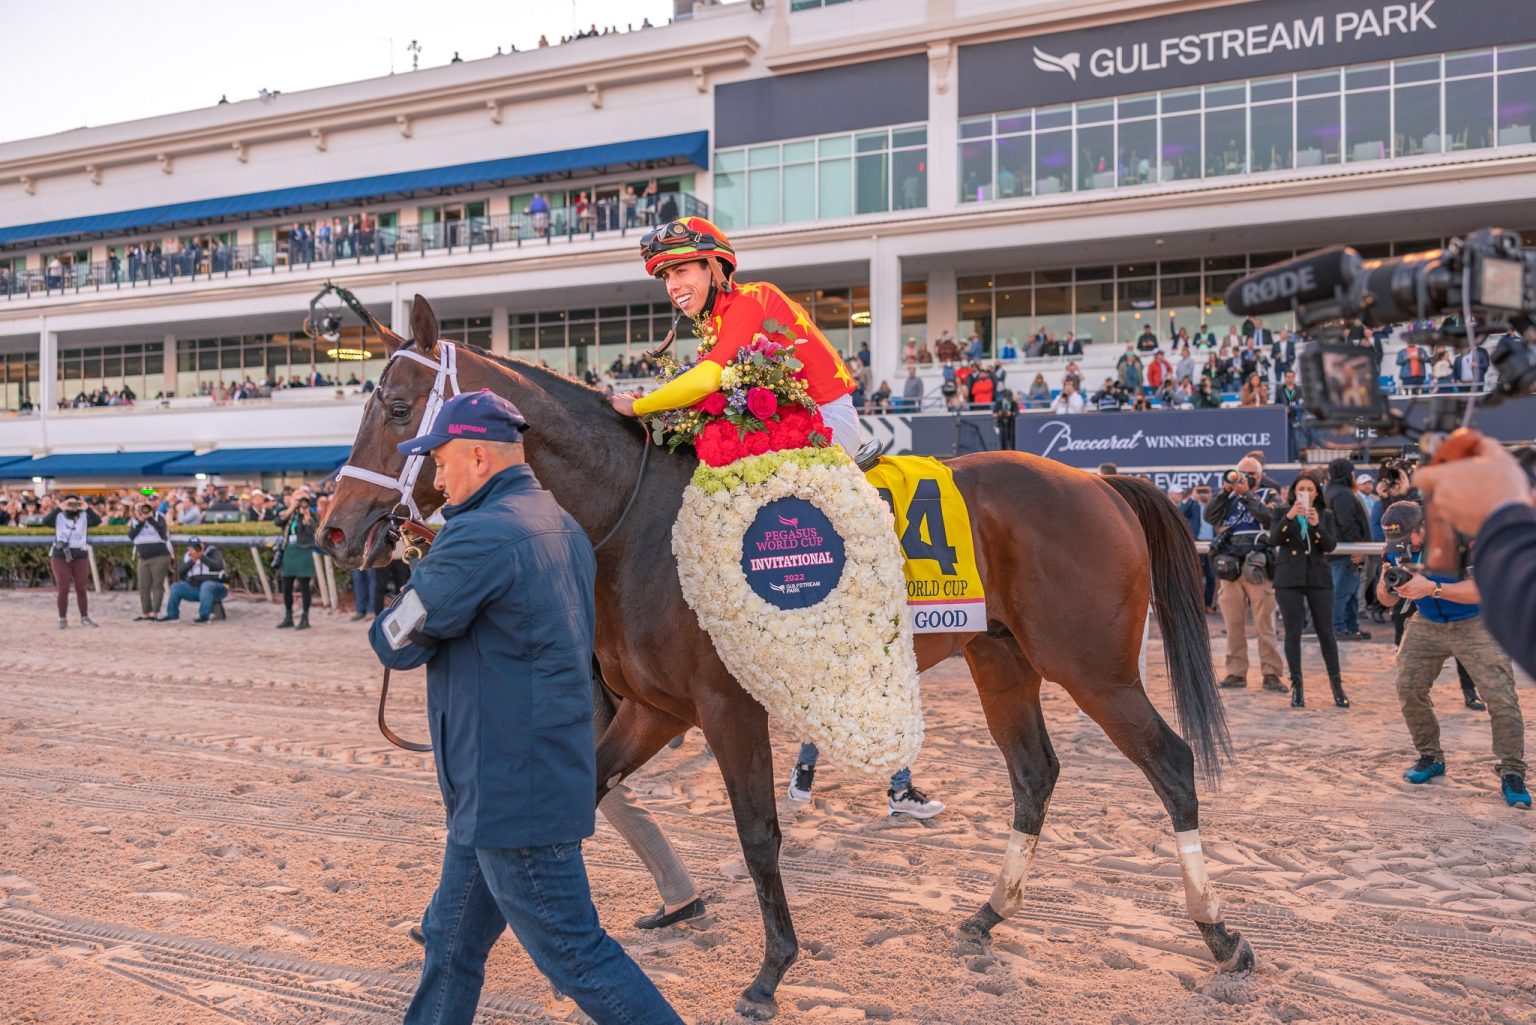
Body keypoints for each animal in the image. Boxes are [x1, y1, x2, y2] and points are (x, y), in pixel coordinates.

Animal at [317, 296, 1253, 1020]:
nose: (334, 527)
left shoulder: (725, 706)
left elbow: (759, 832)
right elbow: (581, 792)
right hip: (1003, 661)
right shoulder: (654, 706)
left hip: (1093, 665)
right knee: (1035, 773)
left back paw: (1218, 931)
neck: (637, 517)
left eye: (397, 408)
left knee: (1170, 762)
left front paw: (771, 970)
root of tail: (1099, 481)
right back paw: (989, 911)